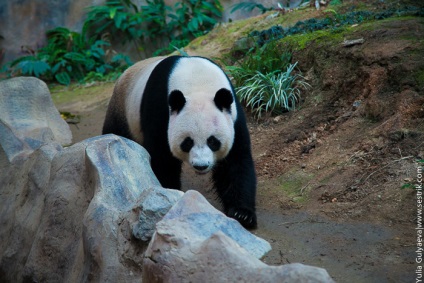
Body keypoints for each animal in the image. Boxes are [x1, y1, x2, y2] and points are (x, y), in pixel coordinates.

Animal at [102, 56, 256, 230]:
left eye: (213, 141)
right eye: (187, 142)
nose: (201, 166)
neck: (198, 82)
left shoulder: (233, 117)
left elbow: (236, 161)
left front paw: (242, 214)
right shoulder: (161, 110)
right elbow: (162, 159)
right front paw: (169, 195)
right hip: (123, 111)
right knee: (116, 132)